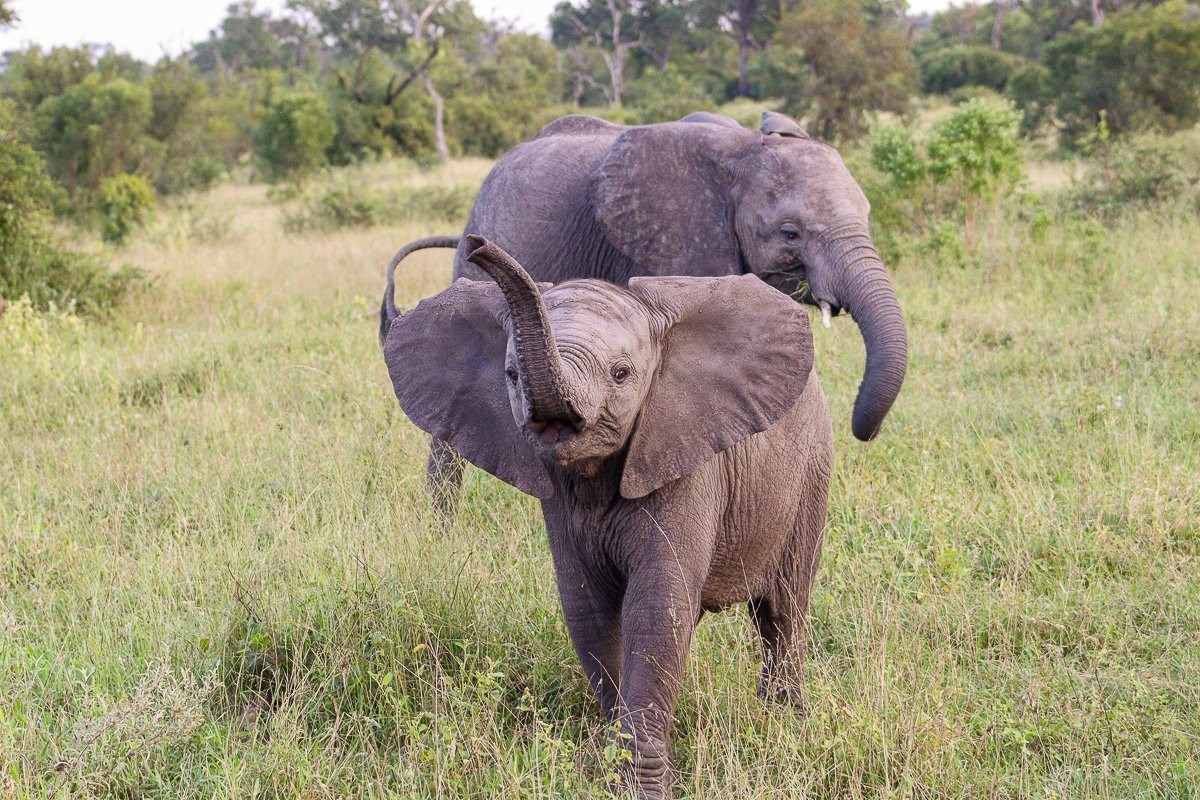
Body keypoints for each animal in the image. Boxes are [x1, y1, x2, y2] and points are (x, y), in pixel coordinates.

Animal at [383, 236, 832, 798]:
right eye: (510, 376)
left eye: (621, 374)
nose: (477, 245)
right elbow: (590, 611)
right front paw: (614, 770)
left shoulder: (683, 460)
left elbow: (656, 609)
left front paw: (644, 787)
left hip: (811, 473)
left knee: (784, 612)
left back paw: (786, 728)